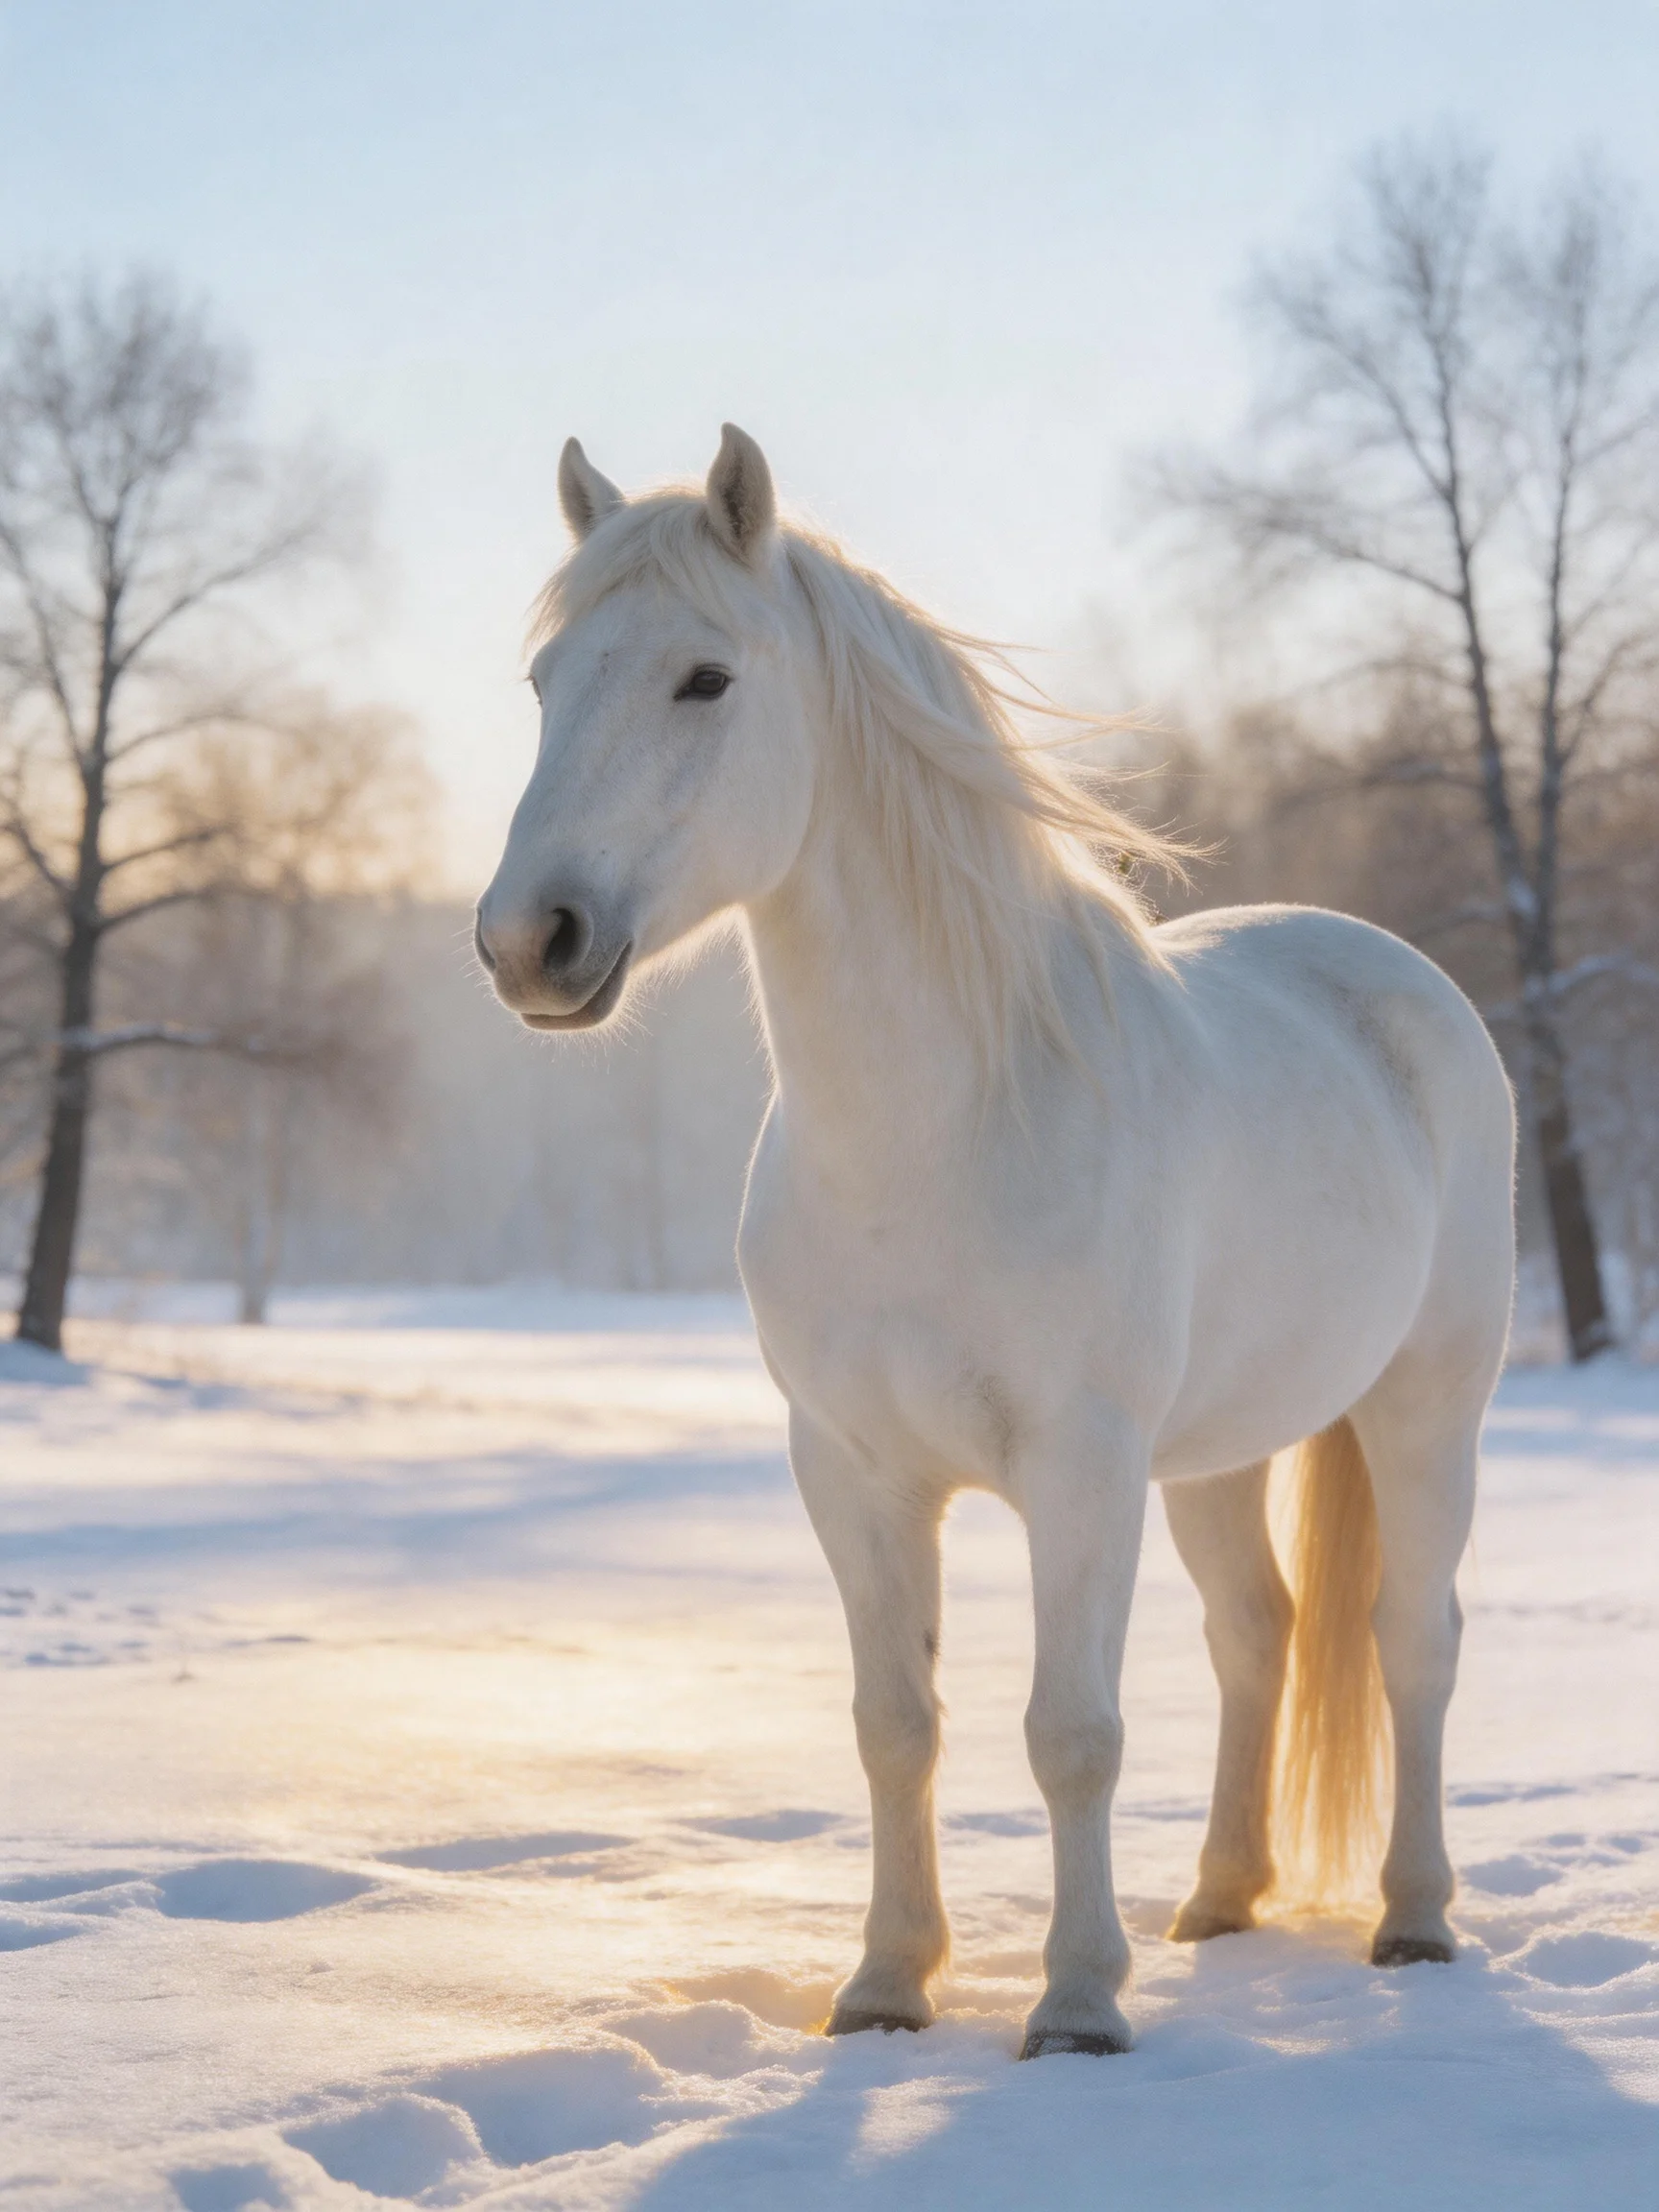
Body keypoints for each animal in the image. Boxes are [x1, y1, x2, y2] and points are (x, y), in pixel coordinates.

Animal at [476, 425, 1516, 2058]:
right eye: (543, 682)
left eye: (705, 678)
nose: (531, 943)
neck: (940, 1132)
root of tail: (1397, 974)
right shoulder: (852, 1471)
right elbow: (895, 1725)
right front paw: (885, 1988)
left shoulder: (1078, 1469)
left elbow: (1071, 1732)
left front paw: (1078, 2005)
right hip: (1212, 1454)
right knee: (1259, 1634)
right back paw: (1219, 1902)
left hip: (1428, 1405)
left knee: (1413, 1636)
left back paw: (1412, 1921)